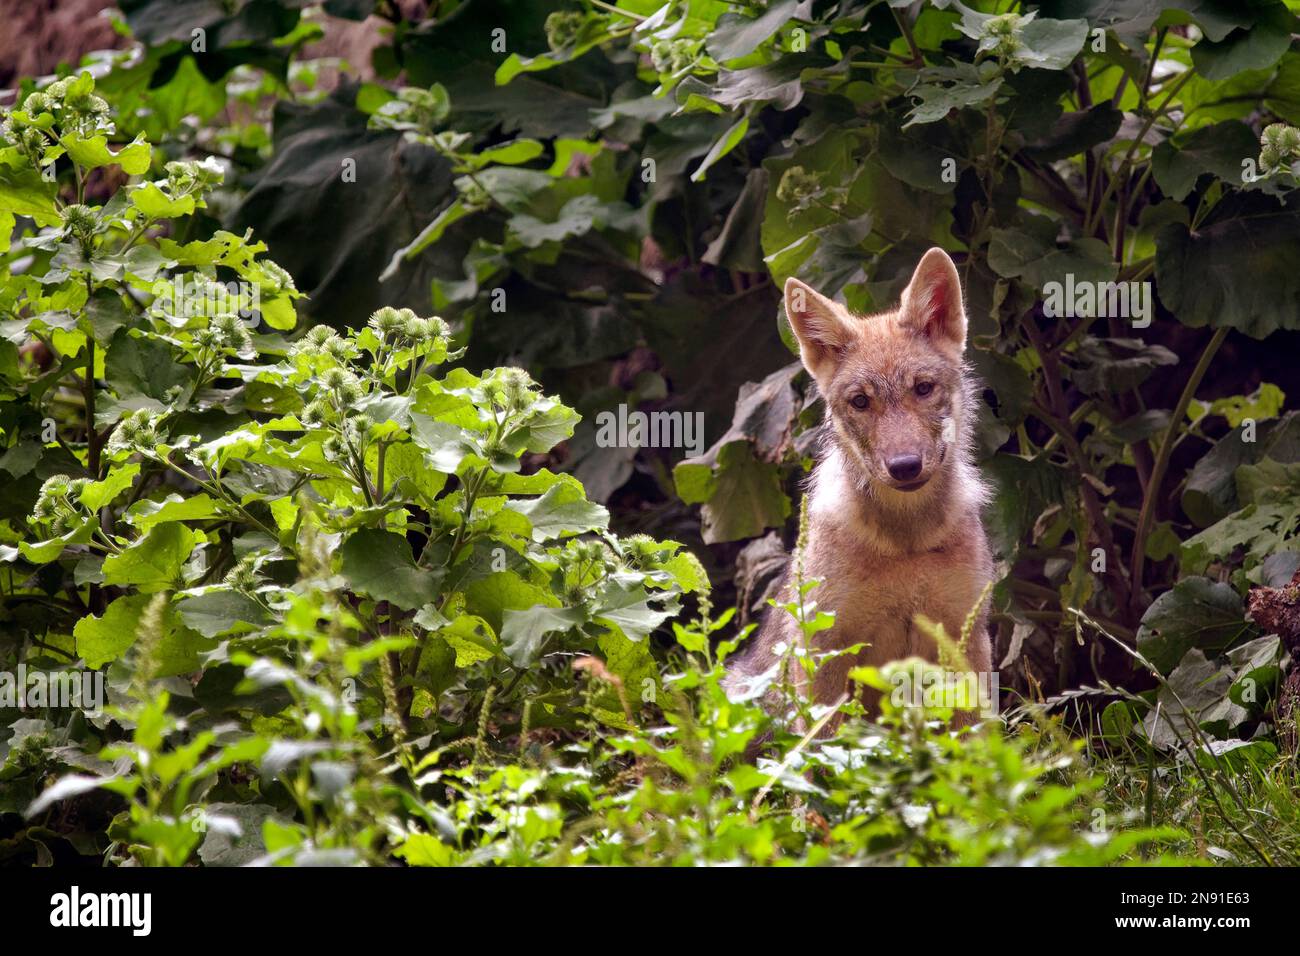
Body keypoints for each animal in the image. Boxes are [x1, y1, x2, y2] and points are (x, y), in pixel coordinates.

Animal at [722, 247, 993, 723]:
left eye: (923, 389)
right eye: (861, 402)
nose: (904, 466)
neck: (905, 542)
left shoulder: (966, 640)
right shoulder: (825, 651)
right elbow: (825, 743)